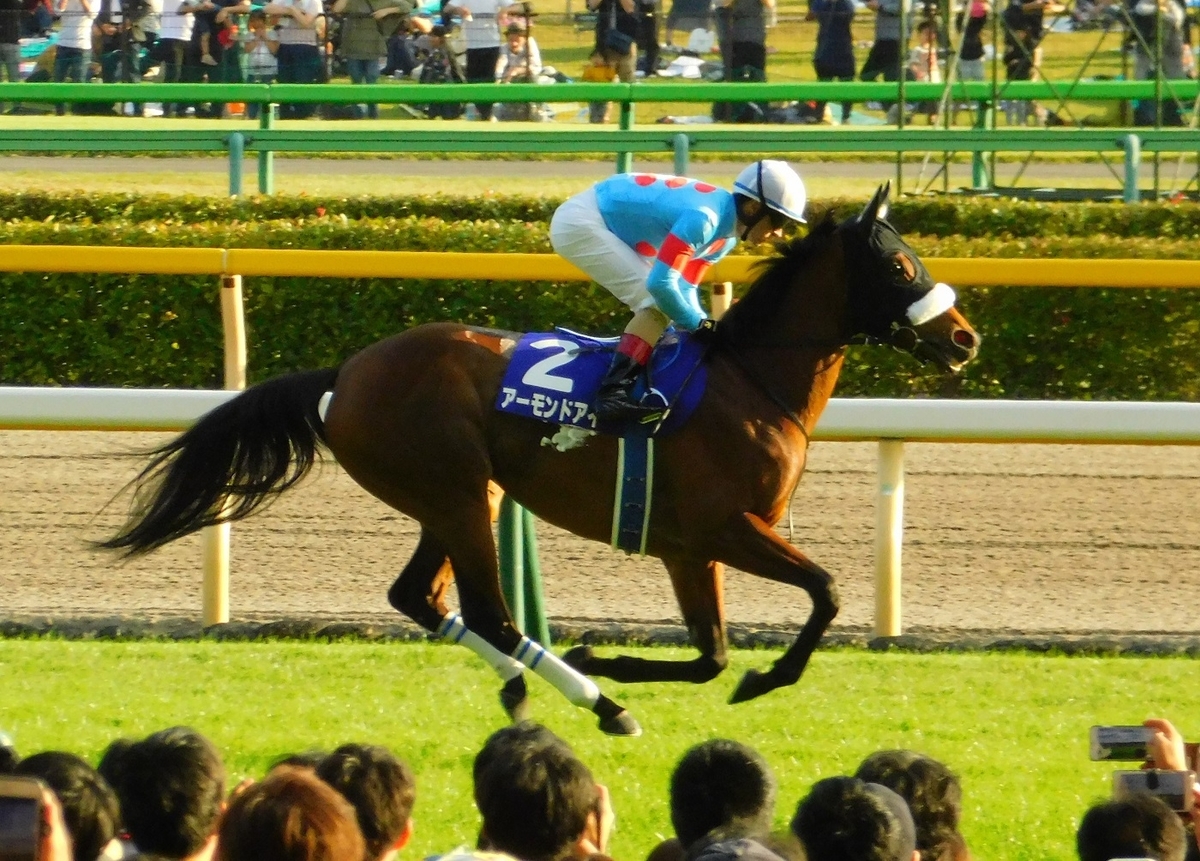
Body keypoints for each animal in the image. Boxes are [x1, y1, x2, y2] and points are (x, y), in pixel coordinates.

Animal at [99, 184, 980, 737]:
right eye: (900, 266)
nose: (964, 337)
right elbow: (824, 593)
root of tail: (344, 373)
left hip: (461, 495)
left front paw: (643, 662)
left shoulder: (688, 547)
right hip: (454, 490)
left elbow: (710, 656)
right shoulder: (725, 527)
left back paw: (531, 692)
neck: (751, 381)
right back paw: (599, 704)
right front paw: (755, 678)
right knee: (488, 611)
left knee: (418, 596)